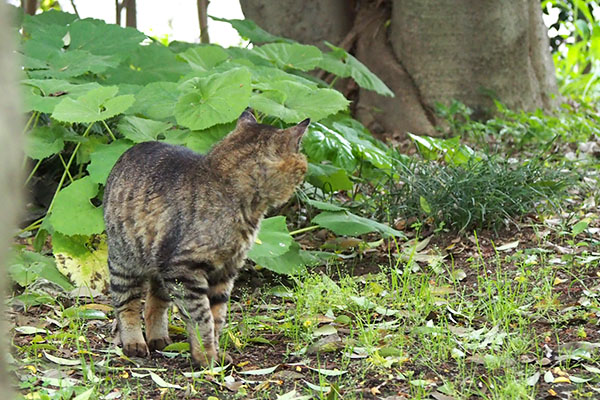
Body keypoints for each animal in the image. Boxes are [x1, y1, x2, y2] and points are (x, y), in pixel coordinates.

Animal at [102, 110, 308, 366]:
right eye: (302, 163)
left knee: (154, 303)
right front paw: (206, 355)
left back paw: (159, 338)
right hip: (125, 262)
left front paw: (216, 353)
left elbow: (217, 316)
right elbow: (202, 318)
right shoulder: (184, 271)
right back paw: (134, 342)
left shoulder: (225, 271)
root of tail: (132, 149)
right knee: (126, 304)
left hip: (159, 263)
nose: (306, 172)